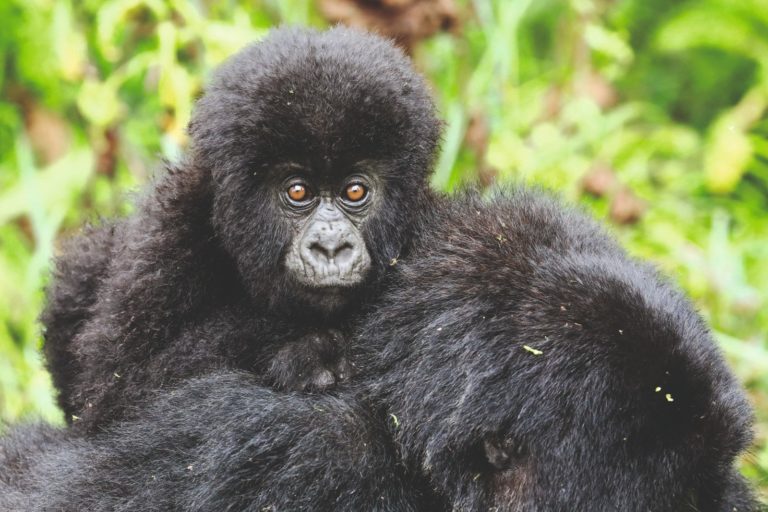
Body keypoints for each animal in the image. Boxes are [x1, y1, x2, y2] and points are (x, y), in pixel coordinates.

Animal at [40, 26, 438, 430]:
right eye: (298, 191)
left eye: (354, 191)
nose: (330, 248)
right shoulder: (168, 237)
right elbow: (117, 393)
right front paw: (306, 351)